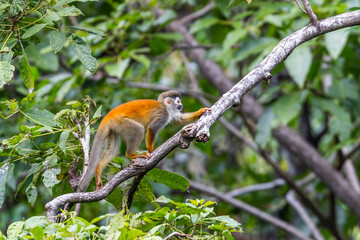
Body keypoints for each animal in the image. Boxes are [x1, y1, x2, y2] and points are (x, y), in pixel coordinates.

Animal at [76, 91, 211, 192]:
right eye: (178, 101)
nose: (181, 105)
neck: (166, 107)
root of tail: (107, 117)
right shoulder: (164, 114)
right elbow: (152, 128)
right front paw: (151, 149)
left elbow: (178, 120)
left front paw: (200, 112)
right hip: (120, 121)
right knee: (139, 130)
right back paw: (131, 154)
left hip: (114, 126)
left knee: (113, 149)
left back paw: (98, 170)